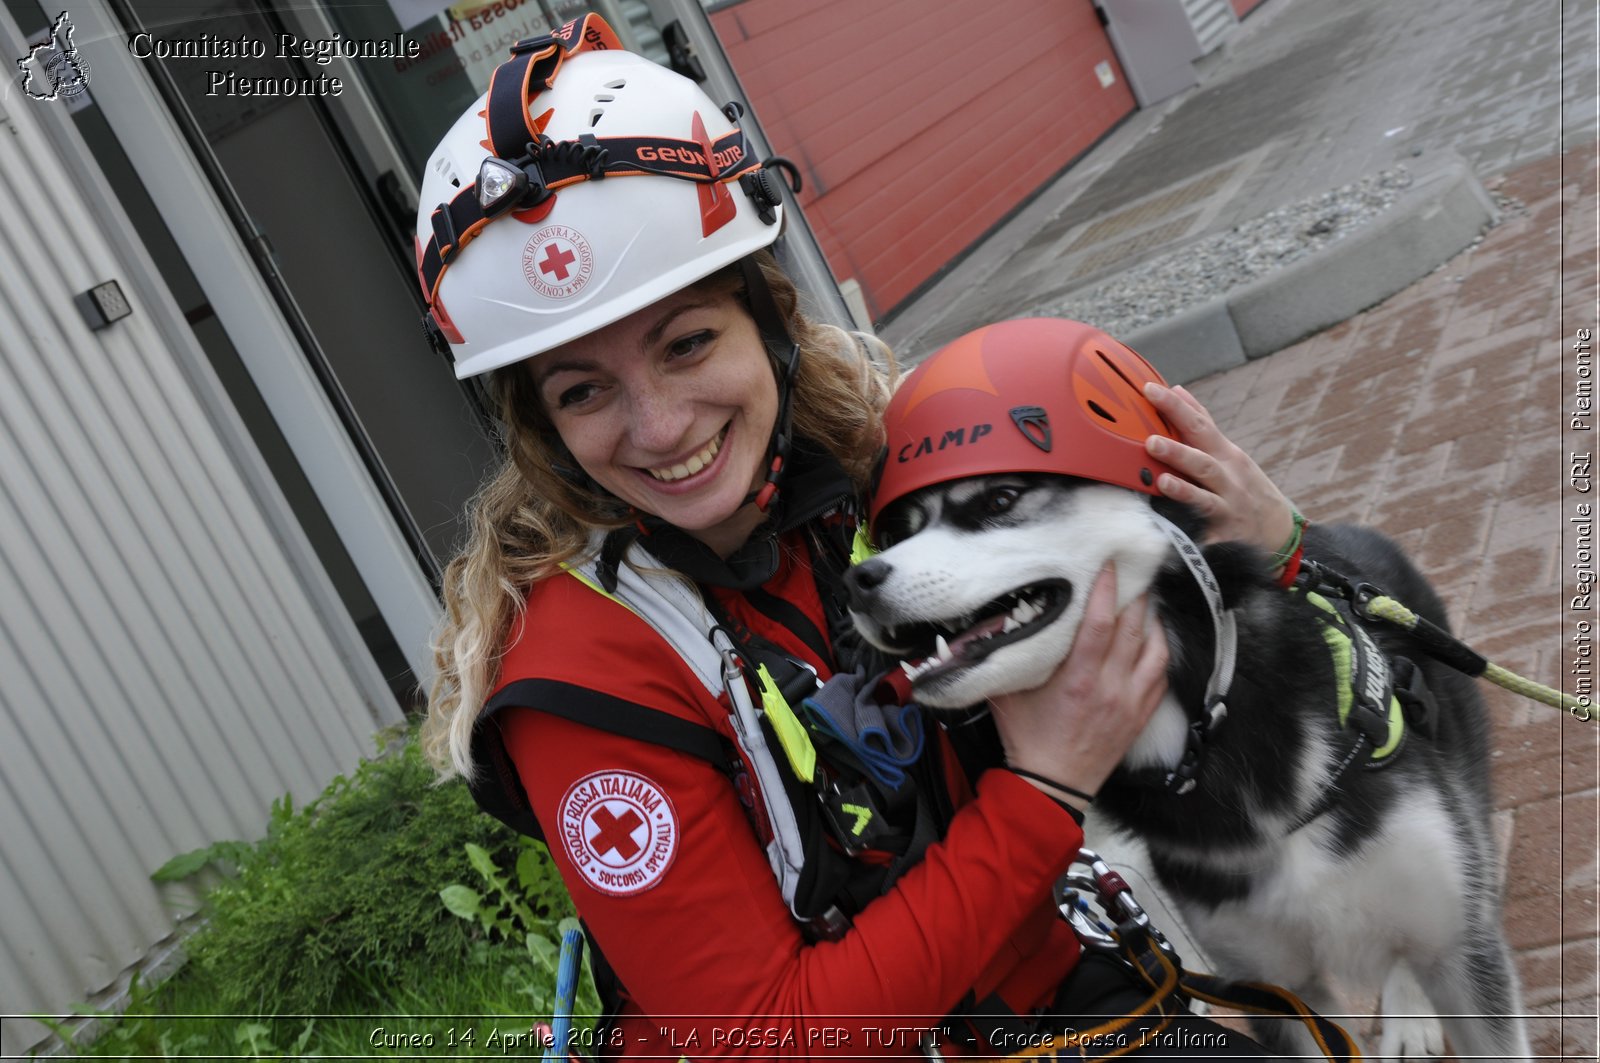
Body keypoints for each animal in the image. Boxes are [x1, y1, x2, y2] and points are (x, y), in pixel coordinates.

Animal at [844, 477, 1529, 1056]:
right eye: (904, 527)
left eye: (1000, 499)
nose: (859, 579)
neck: (1209, 729)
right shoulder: (1275, 987)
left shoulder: (1460, 948)